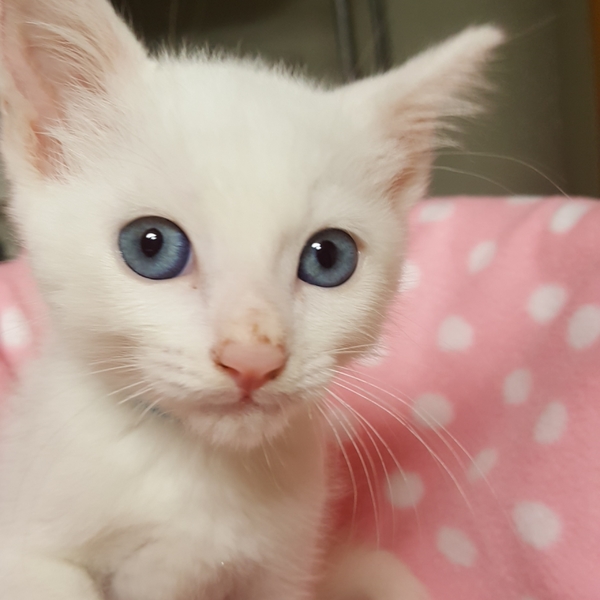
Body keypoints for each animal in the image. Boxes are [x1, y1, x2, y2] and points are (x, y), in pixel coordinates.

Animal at [0, 0, 502, 598]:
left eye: (329, 258)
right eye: (151, 246)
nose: (254, 358)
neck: (196, 469)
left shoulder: (286, 568)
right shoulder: (29, 549)